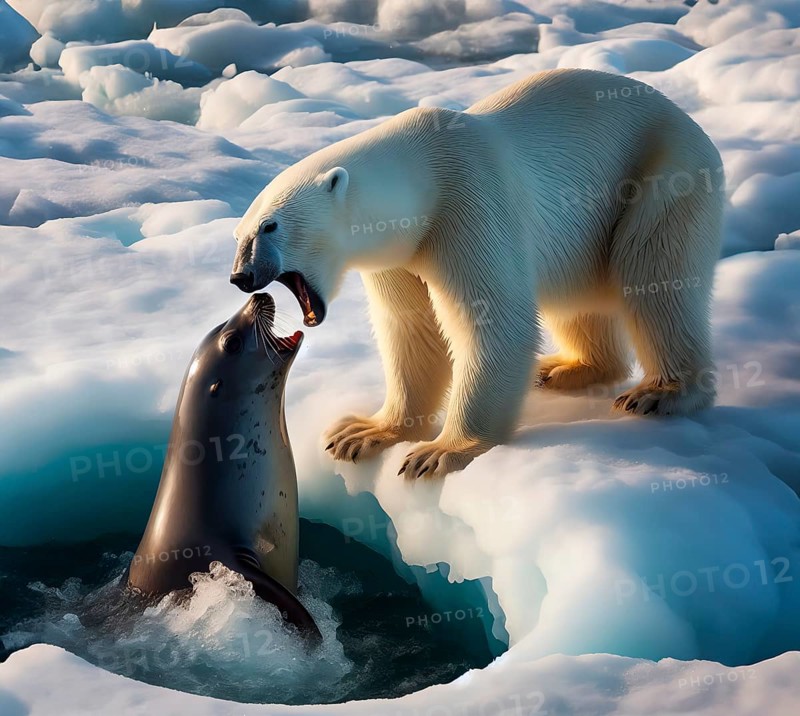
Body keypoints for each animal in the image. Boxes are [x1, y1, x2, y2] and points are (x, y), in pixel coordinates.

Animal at [231, 68, 724, 480]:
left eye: (270, 225)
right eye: (238, 232)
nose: (240, 277)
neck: (424, 172)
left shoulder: (468, 203)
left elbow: (493, 321)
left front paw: (440, 452)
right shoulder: (400, 253)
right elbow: (411, 329)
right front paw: (363, 432)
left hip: (661, 178)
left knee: (656, 277)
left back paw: (661, 391)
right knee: (574, 295)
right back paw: (565, 368)